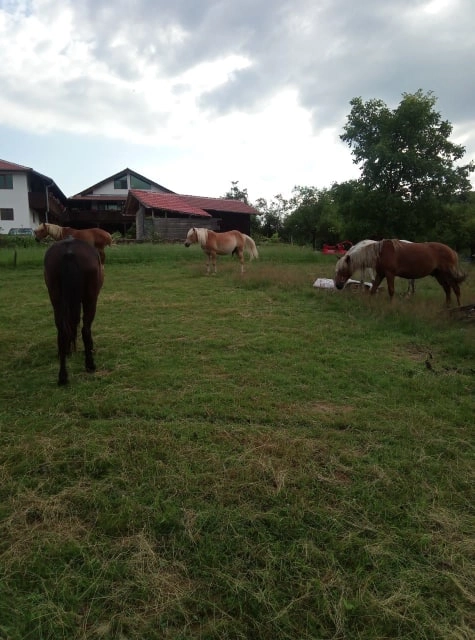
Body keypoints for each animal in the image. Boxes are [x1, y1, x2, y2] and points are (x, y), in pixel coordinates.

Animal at [43, 238, 104, 385]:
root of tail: (69, 251)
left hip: (56, 300)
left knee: (62, 331)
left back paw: (63, 376)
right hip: (90, 300)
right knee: (85, 330)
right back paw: (90, 365)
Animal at [334, 239, 465, 306]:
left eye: (342, 269)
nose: (338, 285)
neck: (380, 253)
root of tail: (453, 251)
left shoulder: (389, 274)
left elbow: (391, 290)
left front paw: (391, 305)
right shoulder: (380, 274)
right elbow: (373, 288)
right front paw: (369, 302)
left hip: (448, 275)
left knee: (456, 288)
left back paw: (458, 307)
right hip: (439, 275)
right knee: (447, 290)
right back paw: (446, 307)